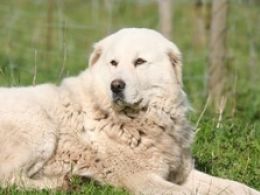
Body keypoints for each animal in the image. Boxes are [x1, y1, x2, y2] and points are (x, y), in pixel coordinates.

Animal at [0, 28, 258, 194]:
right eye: (113, 63)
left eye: (140, 62)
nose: (116, 85)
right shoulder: (142, 179)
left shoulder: (183, 174)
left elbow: (238, 187)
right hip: (40, 128)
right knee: (8, 179)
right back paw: (64, 183)